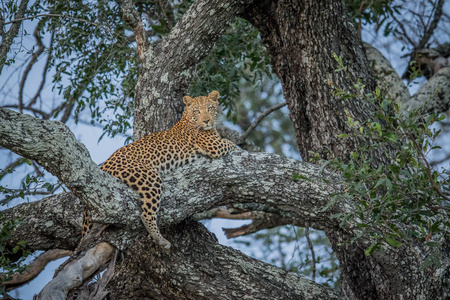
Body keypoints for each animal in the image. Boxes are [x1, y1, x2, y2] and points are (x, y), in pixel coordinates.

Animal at [82, 91, 237, 248]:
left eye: (210, 108)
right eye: (196, 111)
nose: (206, 121)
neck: (188, 119)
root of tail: (104, 165)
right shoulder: (215, 146)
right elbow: (231, 144)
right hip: (149, 178)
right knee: (146, 214)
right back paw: (161, 240)